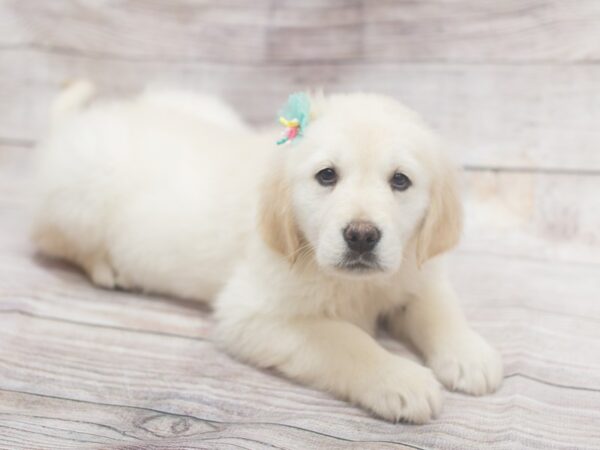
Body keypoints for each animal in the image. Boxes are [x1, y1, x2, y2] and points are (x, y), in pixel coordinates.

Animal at [32, 82, 502, 424]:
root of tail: (76, 123)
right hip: (80, 197)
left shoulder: (414, 269)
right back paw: (108, 268)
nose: (362, 236)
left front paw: (470, 354)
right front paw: (399, 379)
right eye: (326, 176)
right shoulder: (251, 314)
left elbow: (439, 307)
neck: (354, 284)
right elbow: (344, 340)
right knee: (54, 239)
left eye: (400, 181)